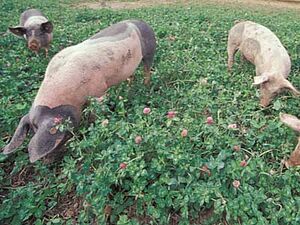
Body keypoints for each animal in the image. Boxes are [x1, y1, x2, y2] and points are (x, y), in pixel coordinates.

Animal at [2, 19, 157, 162]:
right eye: (33, 130)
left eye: (62, 134)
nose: (48, 161)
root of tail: (142, 22)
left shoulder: (98, 91)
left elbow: (95, 113)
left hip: (150, 51)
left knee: (147, 70)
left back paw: (146, 87)